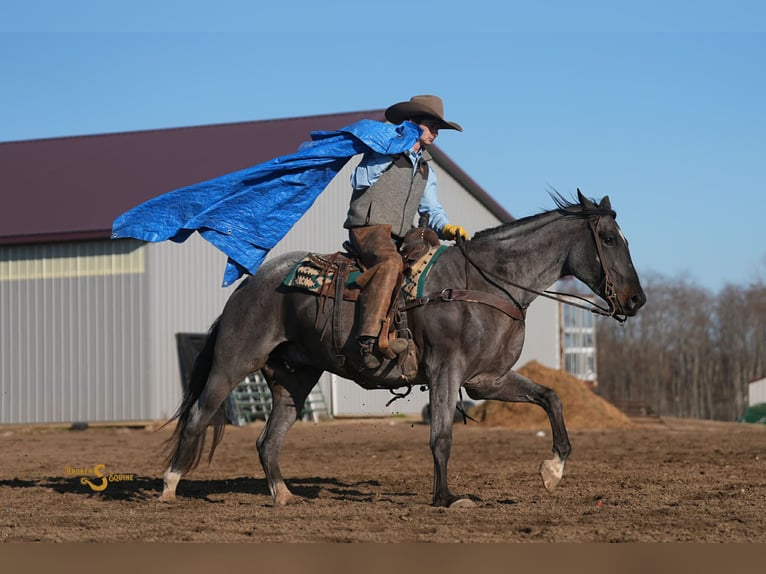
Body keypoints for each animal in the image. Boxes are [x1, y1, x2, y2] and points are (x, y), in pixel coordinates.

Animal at [160, 190, 646, 508]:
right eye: (608, 238)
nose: (636, 300)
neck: (484, 283)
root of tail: (249, 284)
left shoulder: (487, 380)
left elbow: (551, 397)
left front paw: (552, 471)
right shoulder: (447, 372)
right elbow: (441, 436)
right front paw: (446, 497)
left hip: (294, 379)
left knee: (268, 440)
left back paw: (283, 496)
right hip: (234, 361)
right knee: (200, 416)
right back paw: (168, 487)